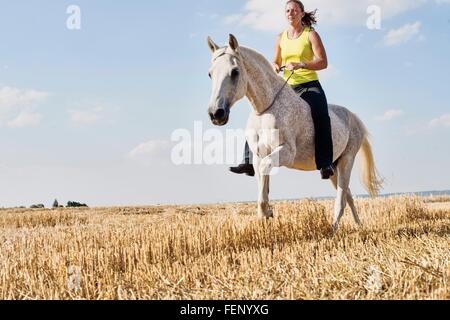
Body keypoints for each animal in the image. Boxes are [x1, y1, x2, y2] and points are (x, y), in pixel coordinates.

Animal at [206, 34, 382, 232]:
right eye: (210, 74)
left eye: (235, 71)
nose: (216, 114)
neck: (267, 108)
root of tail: (354, 118)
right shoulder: (259, 156)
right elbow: (262, 180)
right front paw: (265, 214)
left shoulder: (286, 153)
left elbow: (265, 170)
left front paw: (266, 211)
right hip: (334, 168)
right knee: (348, 195)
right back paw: (359, 226)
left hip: (346, 161)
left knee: (341, 199)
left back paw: (333, 230)